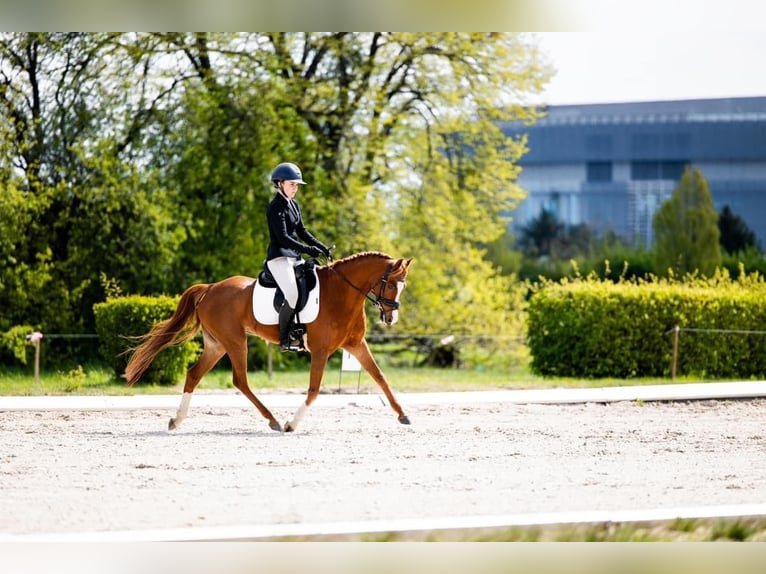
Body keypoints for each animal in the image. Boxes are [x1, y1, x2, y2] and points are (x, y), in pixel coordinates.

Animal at [124, 250, 414, 434]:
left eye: (403, 286)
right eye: (391, 285)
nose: (391, 318)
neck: (342, 293)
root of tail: (210, 288)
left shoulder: (356, 345)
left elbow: (380, 377)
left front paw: (403, 415)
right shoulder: (320, 350)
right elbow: (314, 389)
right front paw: (291, 425)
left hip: (217, 345)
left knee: (194, 374)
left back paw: (176, 420)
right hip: (235, 341)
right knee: (240, 380)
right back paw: (273, 420)